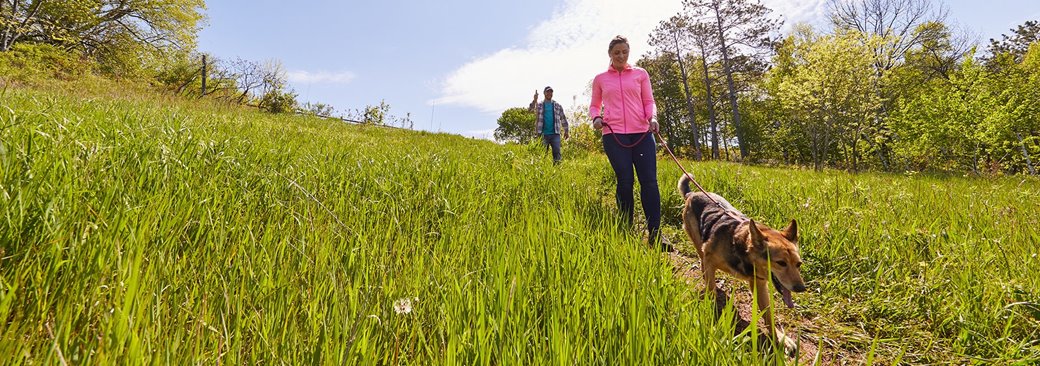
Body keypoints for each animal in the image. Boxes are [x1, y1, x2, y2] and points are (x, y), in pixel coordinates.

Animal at [678, 174, 807, 351]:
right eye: (781, 263)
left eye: (798, 264)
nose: (801, 288)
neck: (744, 252)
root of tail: (693, 194)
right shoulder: (710, 259)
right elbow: (711, 289)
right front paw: (711, 310)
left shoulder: (760, 285)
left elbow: (768, 315)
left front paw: (780, 338)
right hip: (699, 244)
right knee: (703, 262)